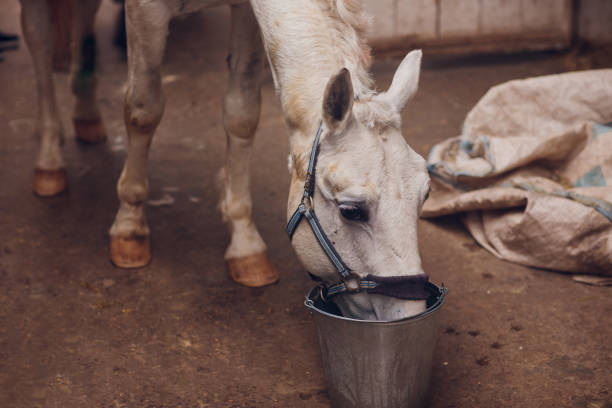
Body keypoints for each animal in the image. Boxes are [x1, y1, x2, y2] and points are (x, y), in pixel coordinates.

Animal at [22, 0, 430, 320]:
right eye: (351, 211)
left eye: (424, 195)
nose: (408, 313)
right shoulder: (144, 10)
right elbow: (143, 110)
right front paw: (129, 227)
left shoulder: (245, 14)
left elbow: (241, 112)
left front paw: (244, 244)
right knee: (37, 42)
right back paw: (49, 161)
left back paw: (87, 117)